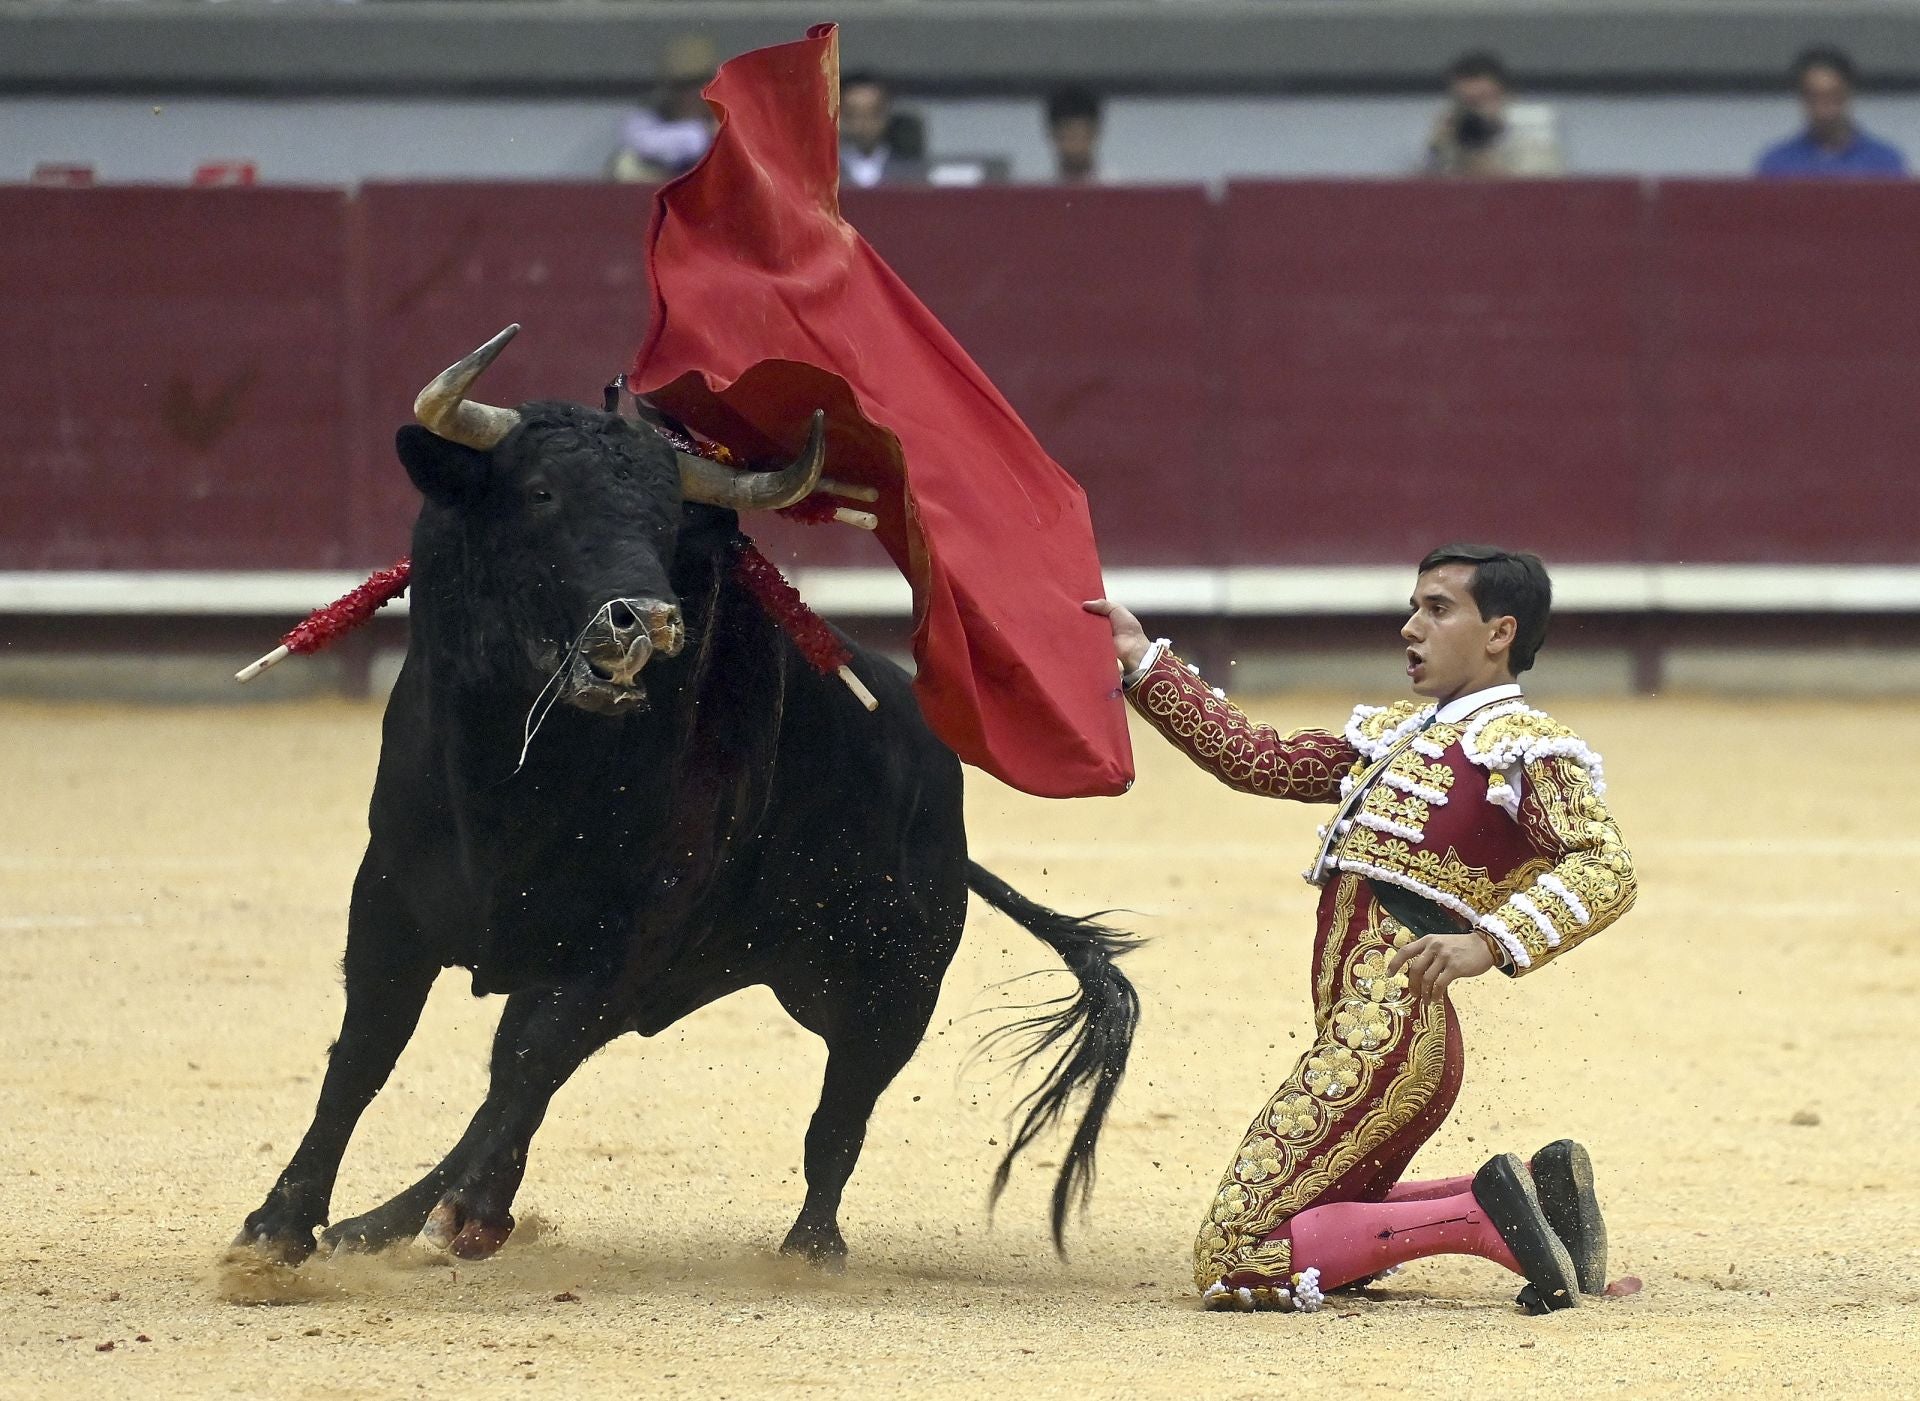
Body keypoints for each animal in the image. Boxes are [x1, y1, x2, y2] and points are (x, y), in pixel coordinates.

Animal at [240, 341, 1136, 1266]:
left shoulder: (626, 937)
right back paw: (414, 1219)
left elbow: (526, 1060)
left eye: (668, 521)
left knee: (834, 1117)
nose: (647, 621)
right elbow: (367, 1050)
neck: (515, 775)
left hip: (891, 988)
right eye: (540, 493)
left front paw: (413, 1218)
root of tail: (944, 789)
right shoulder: (387, 902)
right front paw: (278, 1226)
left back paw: (805, 1251)